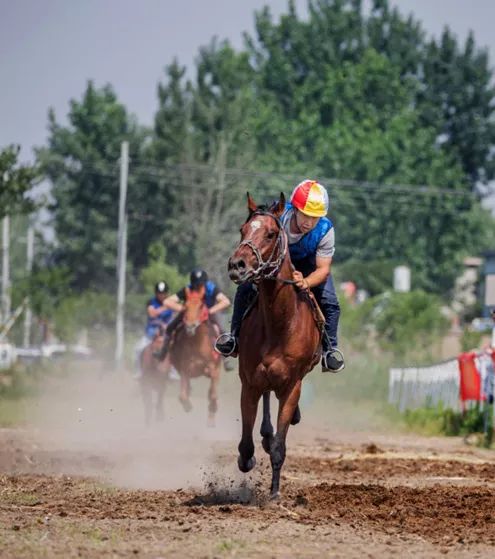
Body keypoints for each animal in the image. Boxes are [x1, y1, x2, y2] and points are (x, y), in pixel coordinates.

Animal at [170, 286, 223, 426]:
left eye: (201, 306)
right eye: (185, 306)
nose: (190, 326)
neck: (196, 343)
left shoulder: (213, 367)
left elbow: (213, 394)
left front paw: (213, 409)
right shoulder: (185, 368)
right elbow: (182, 395)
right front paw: (187, 406)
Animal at [228, 192, 322, 498]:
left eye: (270, 234)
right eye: (243, 230)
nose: (237, 265)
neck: (279, 323)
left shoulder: (291, 386)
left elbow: (281, 446)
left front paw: (274, 492)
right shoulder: (249, 383)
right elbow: (246, 445)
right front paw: (248, 459)